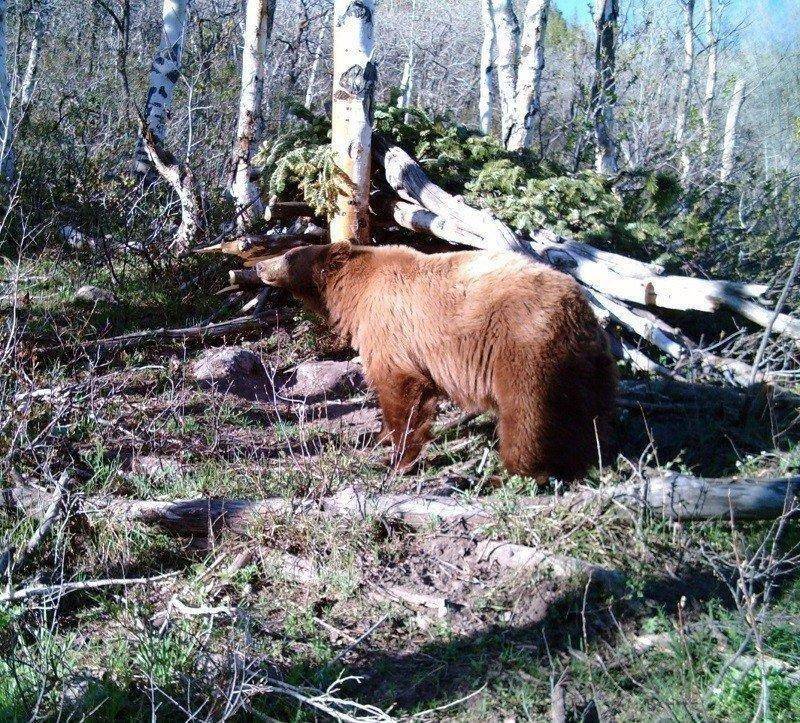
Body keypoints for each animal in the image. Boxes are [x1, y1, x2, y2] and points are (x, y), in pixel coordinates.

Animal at [258, 240, 620, 484]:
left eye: (289, 255)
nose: (259, 266)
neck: (354, 292)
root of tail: (578, 310)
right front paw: (381, 438)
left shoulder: (391, 329)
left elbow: (401, 389)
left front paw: (398, 460)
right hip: (589, 368)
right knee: (589, 417)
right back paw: (590, 458)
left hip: (523, 348)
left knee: (527, 415)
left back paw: (509, 474)